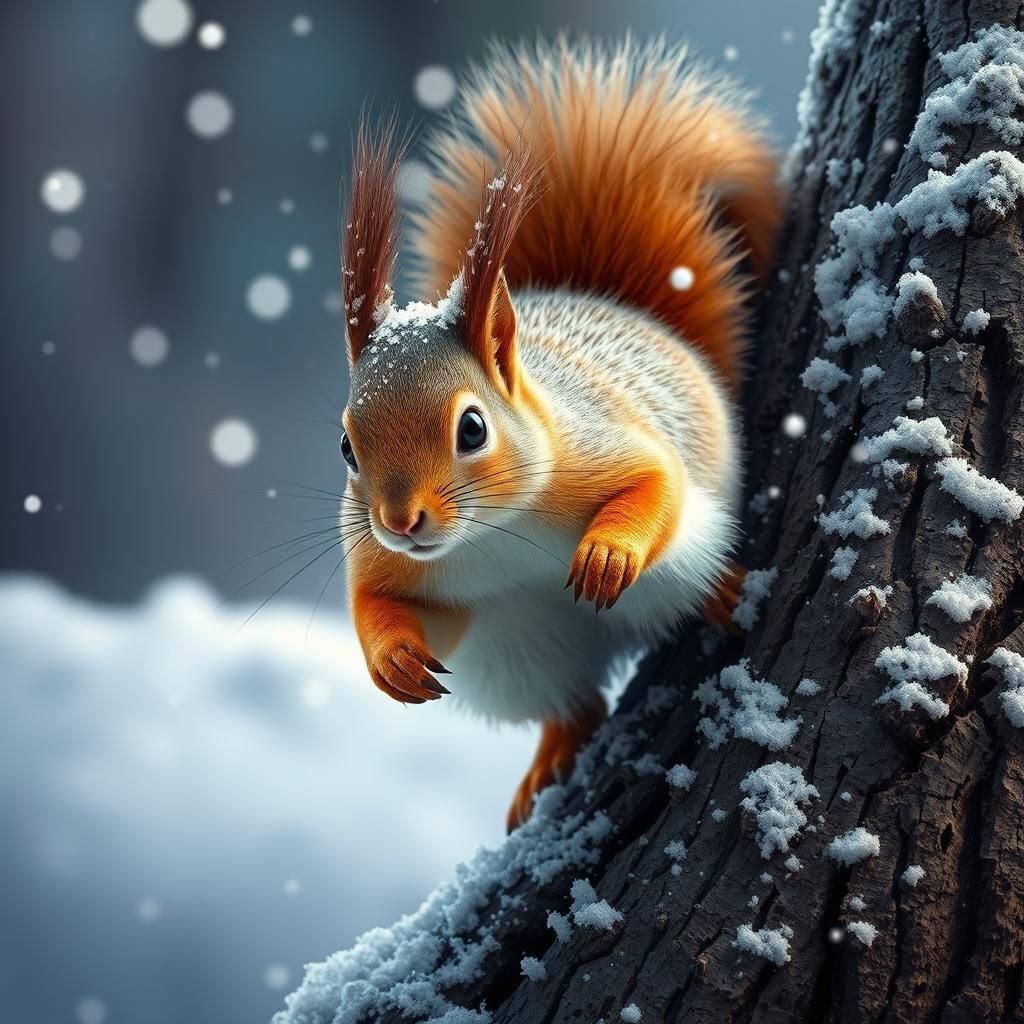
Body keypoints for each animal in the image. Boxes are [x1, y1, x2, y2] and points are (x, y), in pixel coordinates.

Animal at [338, 37, 782, 831]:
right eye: (345, 447)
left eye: (473, 428)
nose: (400, 523)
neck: (489, 537)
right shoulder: (398, 569)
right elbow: (377, 605)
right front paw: (388, 657)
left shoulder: (595, 447)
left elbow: (657, 482)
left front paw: (609, 551)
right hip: (517, 652)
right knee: (575, 703)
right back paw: (548, 759)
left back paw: (724, 596)